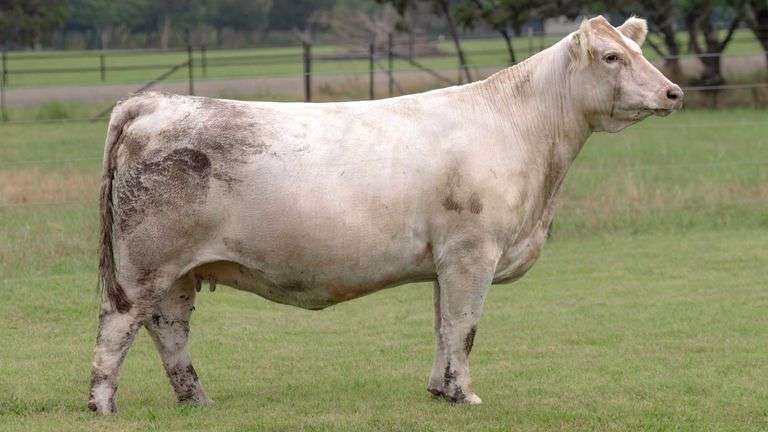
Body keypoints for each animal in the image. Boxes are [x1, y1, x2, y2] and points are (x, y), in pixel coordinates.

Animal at [88, 16, 682, 414]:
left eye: (638, 49)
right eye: (612, 57)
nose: (674, 91)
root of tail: (155, 101)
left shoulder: (447, 257)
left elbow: (442, 324)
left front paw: (441, 391)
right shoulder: (473, 251)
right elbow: (464, 324)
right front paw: (465, 395)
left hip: (179, 272)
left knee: (169, 329)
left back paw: (198, 400)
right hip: (145, 265)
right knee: (118, 325)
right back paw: (103, 405)